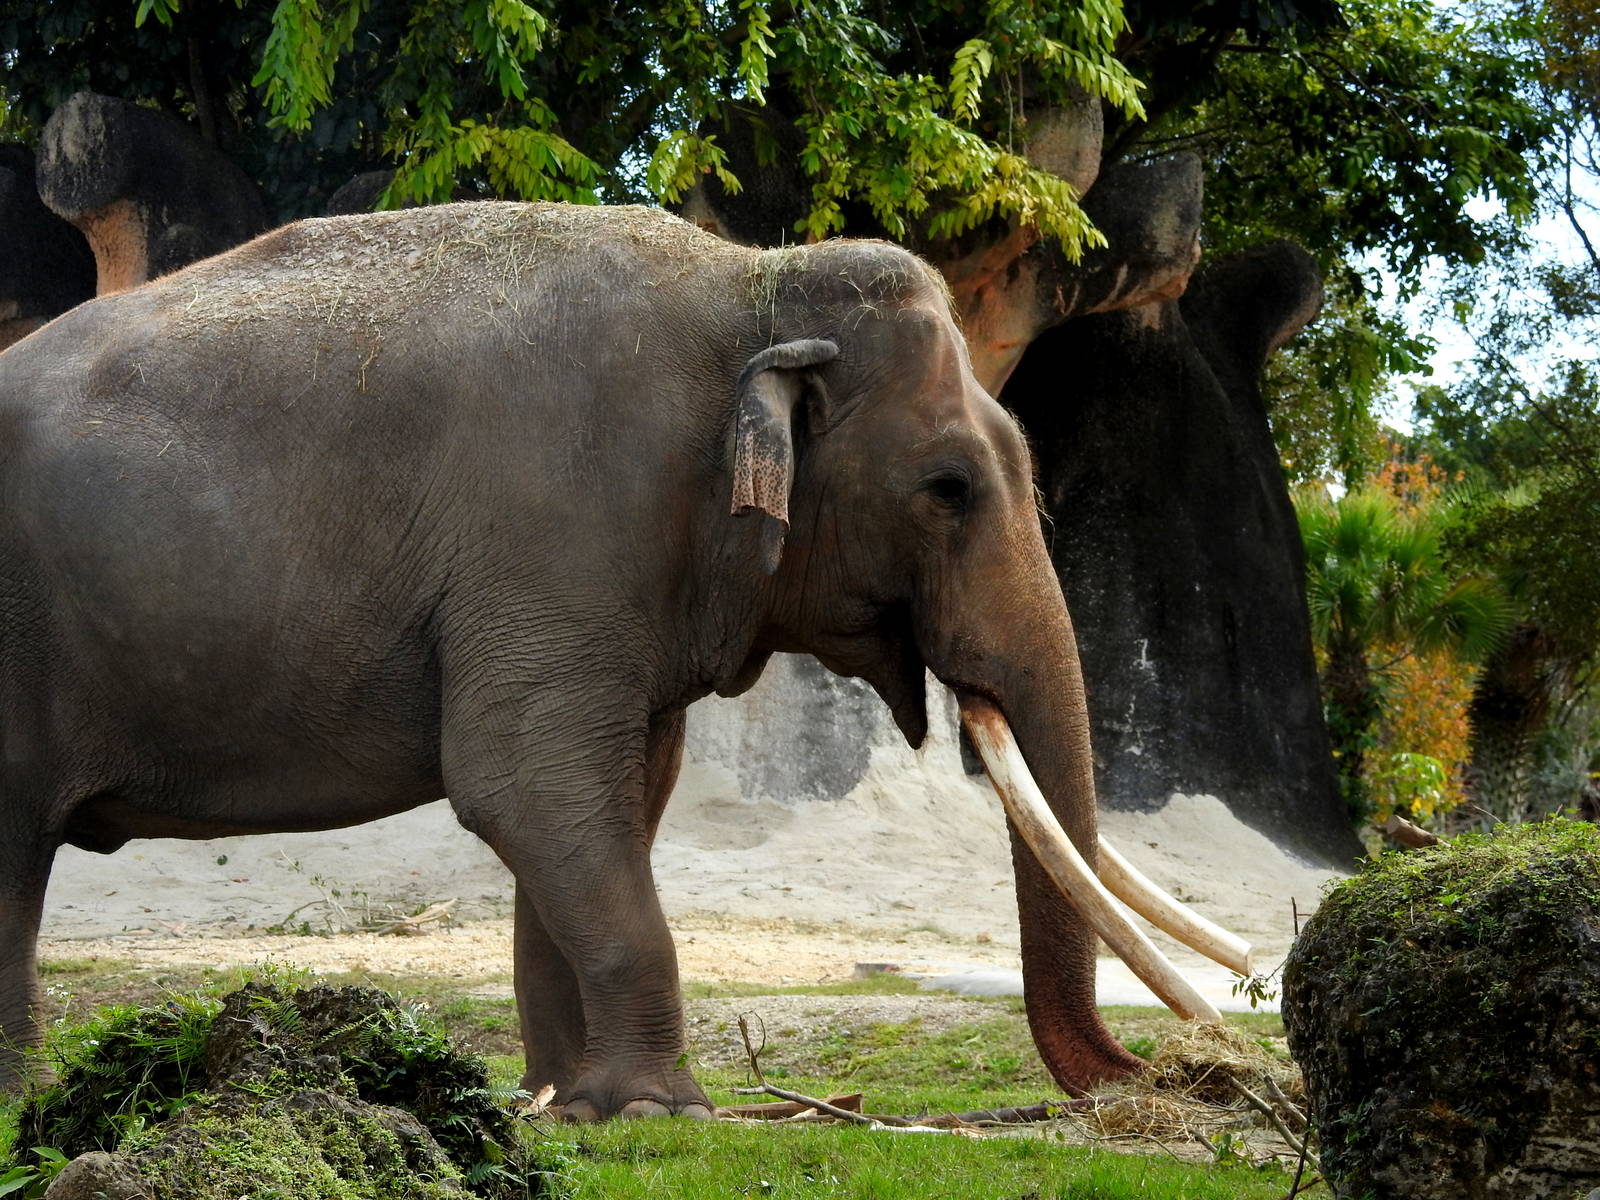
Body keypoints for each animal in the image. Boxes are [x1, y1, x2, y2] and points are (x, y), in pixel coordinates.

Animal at [0, 200, 1147, 1118]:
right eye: (949, 487)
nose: (1144, 1075)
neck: (754, 284)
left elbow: (610, 801)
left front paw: (567, 1103)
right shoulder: (556, 528)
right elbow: (524, 783)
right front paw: (662, 1112)